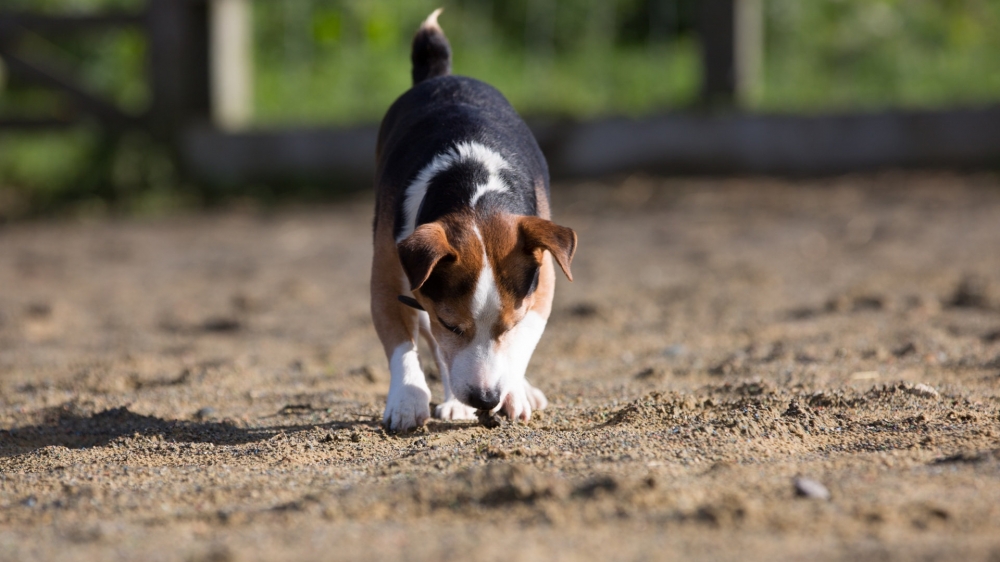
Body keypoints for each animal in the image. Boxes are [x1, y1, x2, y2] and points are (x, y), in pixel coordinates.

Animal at [372, 7, 580, 428]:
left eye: (510, 324)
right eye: (452, 324)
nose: (486, 398)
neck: (475, 192)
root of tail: (441, 75)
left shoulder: (542, 286)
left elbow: (522, 342)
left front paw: (515, 391)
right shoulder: (387, 277)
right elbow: (403, 345)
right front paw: (407, 399)